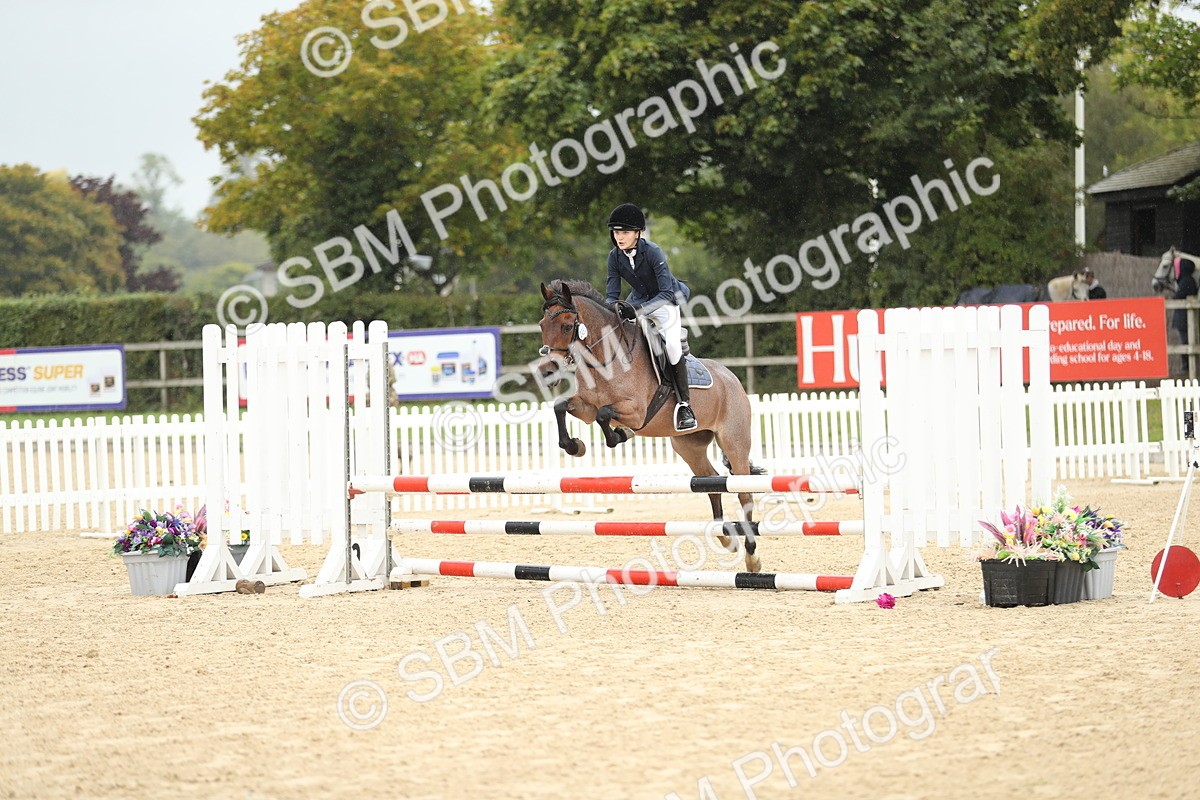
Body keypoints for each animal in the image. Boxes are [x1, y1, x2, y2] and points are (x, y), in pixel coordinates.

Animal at [535, 279, 762, 572]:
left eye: (565, 325)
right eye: (542, 324)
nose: (546, 372)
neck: (606, 357)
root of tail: (732, 379)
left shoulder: (636, 411)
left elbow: (604, 415)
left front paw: (619, 435)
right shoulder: (585, 407)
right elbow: (561, 406)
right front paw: (576, 446)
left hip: (734, 441)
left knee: (744, 493)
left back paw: (752, 556)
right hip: (689, 446)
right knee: (711, 481)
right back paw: (725, 538)